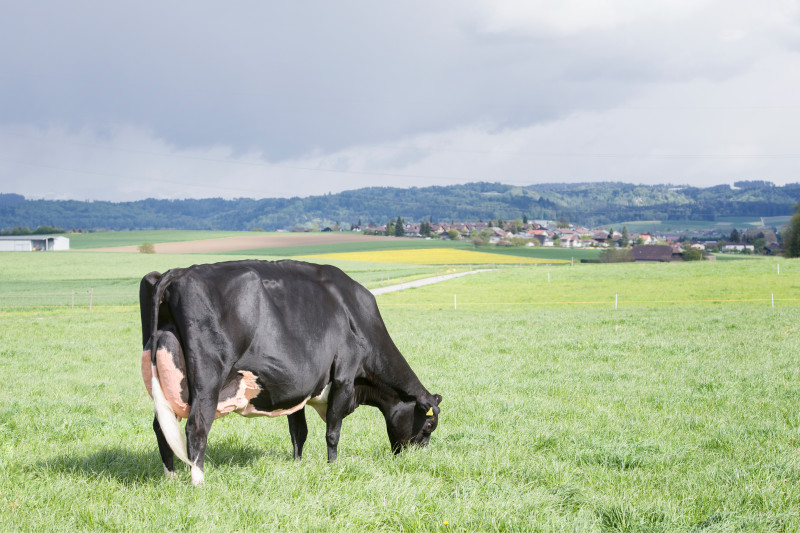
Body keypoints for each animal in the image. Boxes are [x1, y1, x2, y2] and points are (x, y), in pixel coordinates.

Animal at [141, 260, 440, 484]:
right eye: (428, 426)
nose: (416, 460)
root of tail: (178, 272)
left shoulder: (298, 389)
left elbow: (299, 431)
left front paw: (298, 464)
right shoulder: (344, 377)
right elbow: (333, 431)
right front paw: (332, 467)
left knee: (162, 427)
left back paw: (170, 477)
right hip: (208, 381)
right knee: (196, 427)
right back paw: (199, 483)